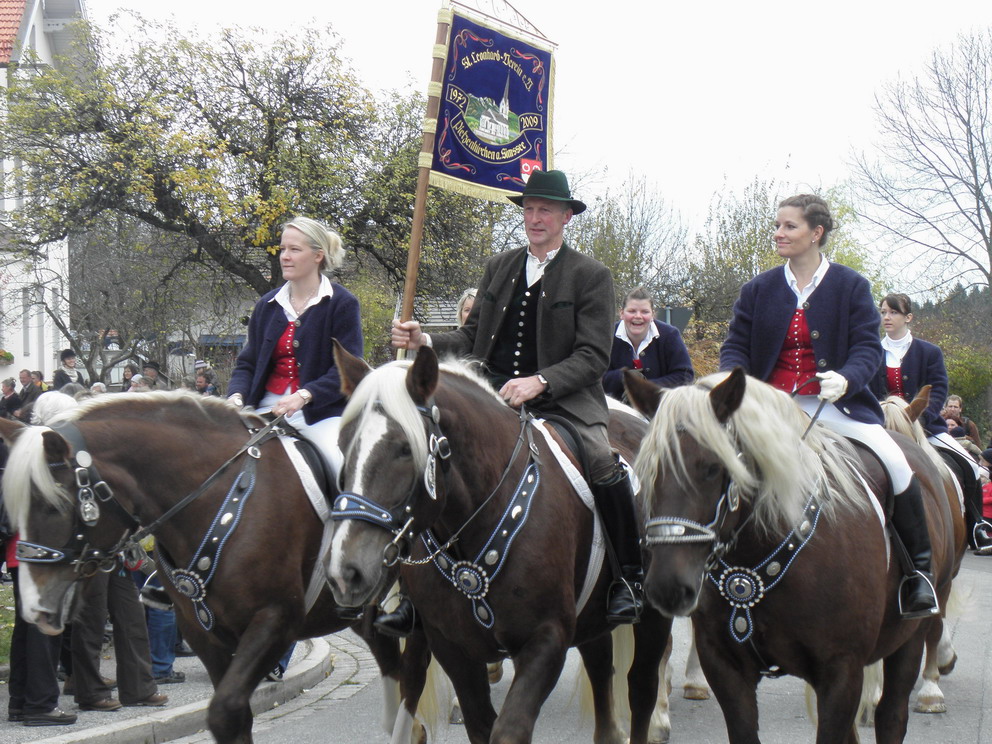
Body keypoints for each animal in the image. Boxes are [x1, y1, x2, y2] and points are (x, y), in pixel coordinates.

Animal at [0, 391, 431, 744]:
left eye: (53, 505)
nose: (34, 607)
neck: (219, 499)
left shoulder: (275, 620)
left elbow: (224, 713)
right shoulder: (202, 632)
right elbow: (233, 717)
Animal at [326, 344, 675, 744]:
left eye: (403, 448)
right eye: (342, 444)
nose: (346, 571)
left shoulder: (546, 640)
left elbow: (508, 730)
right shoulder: (453, 649)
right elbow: (480, 722)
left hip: (652, 616)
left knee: (641, 686)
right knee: (601, 669)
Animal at [623, 368, 960, 744]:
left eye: (712, 467)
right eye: (648, 470)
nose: (667, 587)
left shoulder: (841, 671)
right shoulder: (725, 667)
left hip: (911, 635)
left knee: (893, 713)